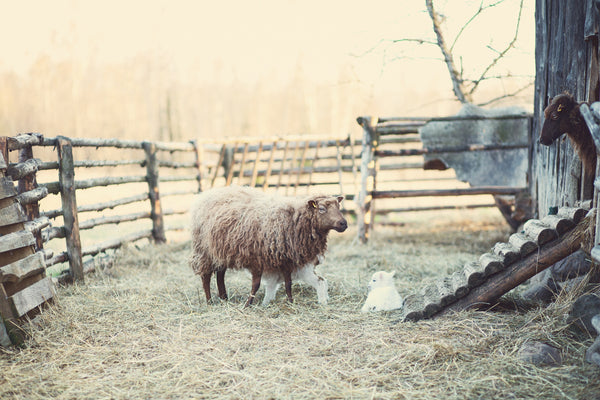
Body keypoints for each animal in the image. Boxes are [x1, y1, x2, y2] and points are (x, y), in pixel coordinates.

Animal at [188, 184, 346, 306]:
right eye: (322, 209)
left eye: (339, 206)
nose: (344, 223)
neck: (293, 219)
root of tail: (209, 193)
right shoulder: (258, 259)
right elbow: (256, 284)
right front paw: (248, 304)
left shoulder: (285, 260)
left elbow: (288, 283)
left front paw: (290, 302)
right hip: (204, 250)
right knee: (206, 276)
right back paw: (209, 301)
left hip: (220, 251)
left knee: (220, 274)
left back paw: (224, 298)